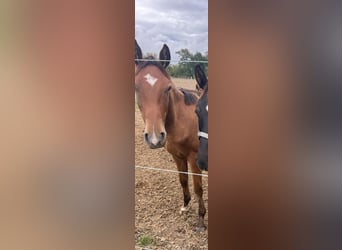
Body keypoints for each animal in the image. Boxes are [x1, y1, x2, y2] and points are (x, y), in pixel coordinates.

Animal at [135, 39, 207, 230]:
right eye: (136, 87)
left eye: (167, 88)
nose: (154, 138)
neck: (182, 121)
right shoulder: (177, 156)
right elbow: (183, 180)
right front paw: (185, 205)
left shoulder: (193, 158)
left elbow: (198, 187)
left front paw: (201, 220)